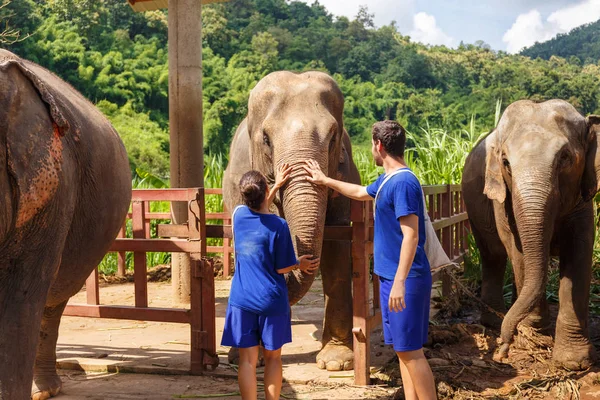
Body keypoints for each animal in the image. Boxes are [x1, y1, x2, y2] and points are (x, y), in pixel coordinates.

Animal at [223, 70, 358, 370]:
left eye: (333, 137)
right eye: (266, 139)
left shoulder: (345, 174)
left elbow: (337, 247)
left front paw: (336, 363)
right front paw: (251, 358)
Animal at [464, 99, 600, 368]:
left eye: (565, 157)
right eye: (506, 162)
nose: (502, 351)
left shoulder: (583, 200)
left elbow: (579, 251)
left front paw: (574, 362)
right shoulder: (502, 199)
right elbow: (517, 251)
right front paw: (535, 336)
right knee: (493, 256)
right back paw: (495, 320)